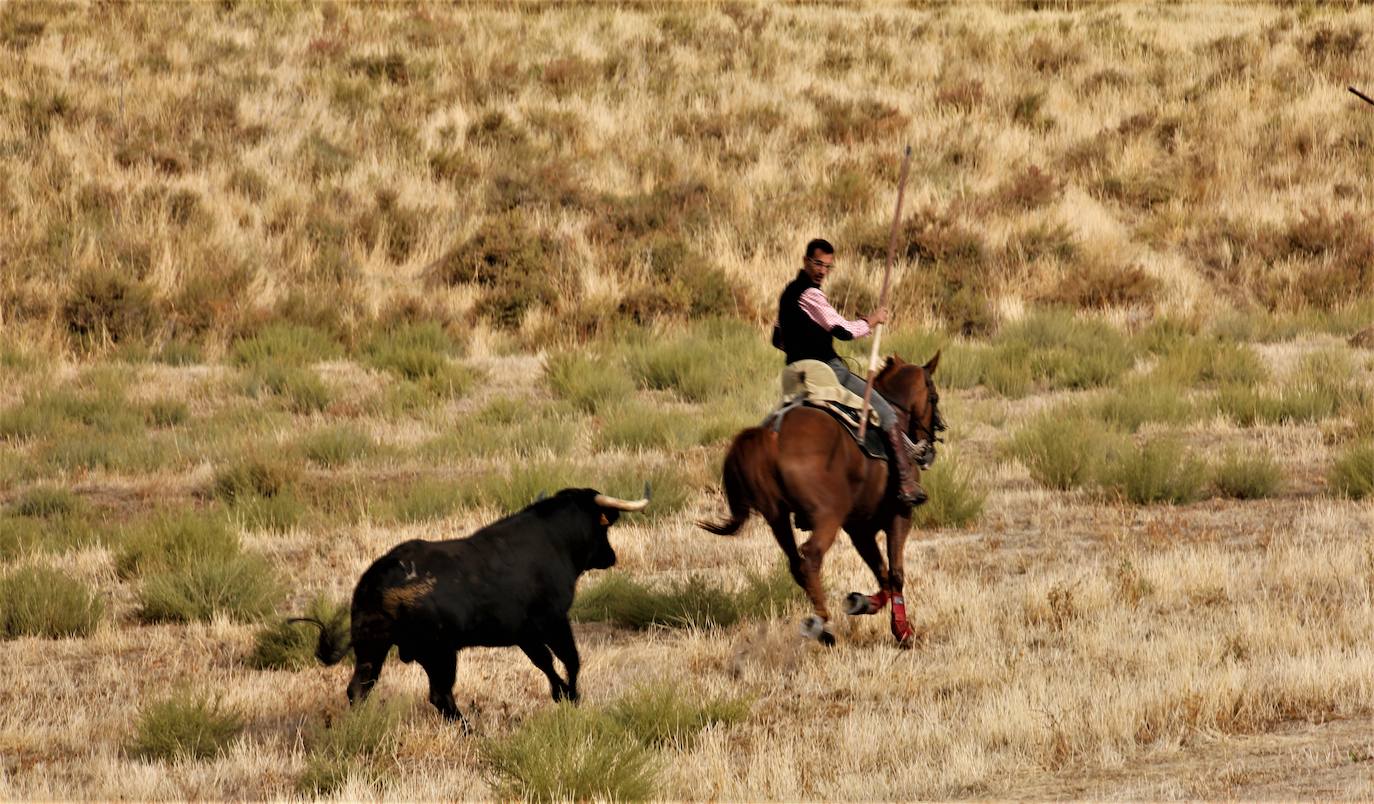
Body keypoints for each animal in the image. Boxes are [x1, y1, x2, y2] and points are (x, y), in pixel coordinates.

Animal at [292, 486, 645, 725]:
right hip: (439, 652)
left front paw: (562, 694)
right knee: (440, 695)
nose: (611, 556)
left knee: (360, 688)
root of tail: (378, 578)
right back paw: (469, 729)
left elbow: (545, 661)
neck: (555, 539)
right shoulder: (554, 621)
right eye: (603, 525)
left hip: (373, 647)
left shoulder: (525, 634)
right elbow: (570, 659)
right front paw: (571, 696)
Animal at [703, 351, 939, 645]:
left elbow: (881, 571)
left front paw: (863, 602)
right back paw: (822, 624)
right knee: (811, 556)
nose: (930, 447)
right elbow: (895, 573)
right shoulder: (899, 515)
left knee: (796, 563)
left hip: (777, 518)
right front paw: (903, 631)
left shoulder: (859, 528)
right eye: (934, 397)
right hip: (828, 516)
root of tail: (772, 436)